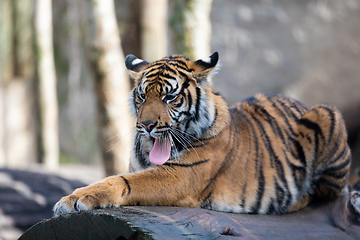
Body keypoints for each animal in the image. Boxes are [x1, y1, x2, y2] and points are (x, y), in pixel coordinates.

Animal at [53, 51, 352, 215]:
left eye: (170, 97)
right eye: (142, 96)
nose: (147, 125)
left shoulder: (181, 176)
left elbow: (125, 182)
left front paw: (73, 199)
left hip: (325, 113)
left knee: (324, 193)